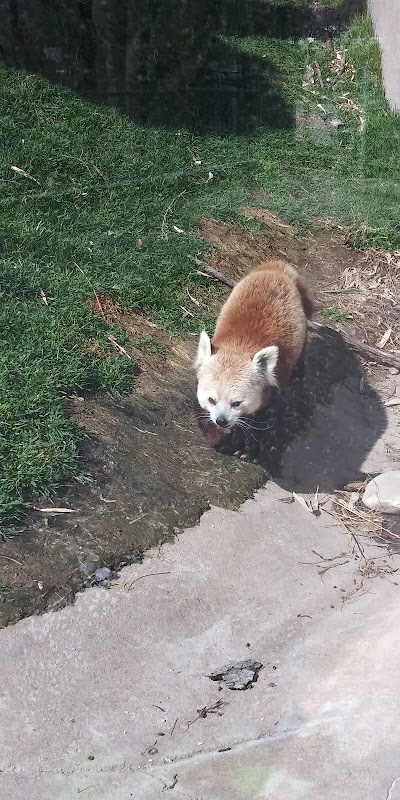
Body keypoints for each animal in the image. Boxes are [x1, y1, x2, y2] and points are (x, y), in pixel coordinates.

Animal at [193, 260, 312, 438]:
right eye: (211, 400)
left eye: (236, 403)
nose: (221, 420)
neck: (239, 347)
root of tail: (278, 270)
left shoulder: (279, 374)